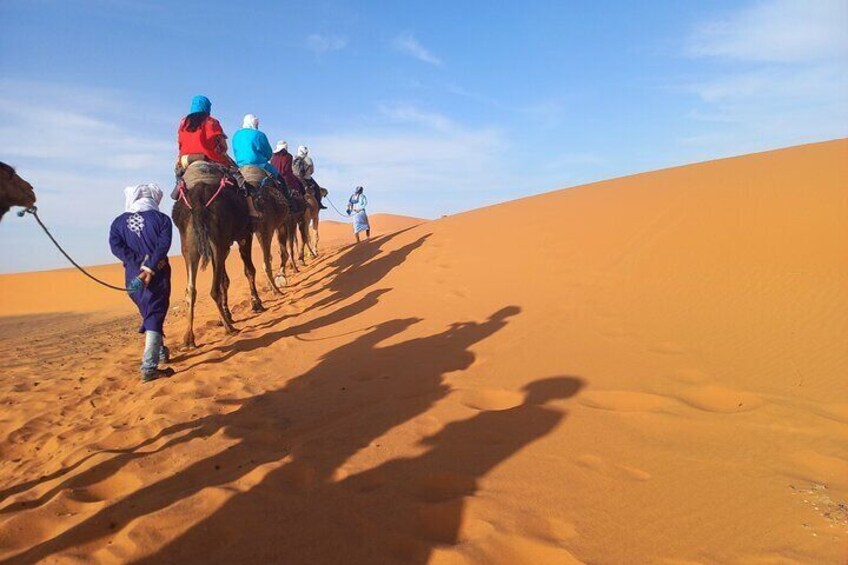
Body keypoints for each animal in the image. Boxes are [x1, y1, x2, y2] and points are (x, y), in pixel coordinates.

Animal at [173, 163, 264, 348]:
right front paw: (257, 303)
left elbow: (225, 281)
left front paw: (228, 314)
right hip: (218, 241)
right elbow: (249, 270)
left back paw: (189, 338)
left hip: (189, 245)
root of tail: (198, 195)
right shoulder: (244, 236)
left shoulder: (226, 245)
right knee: (213, 289)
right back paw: (229, 328)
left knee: (191, 290)